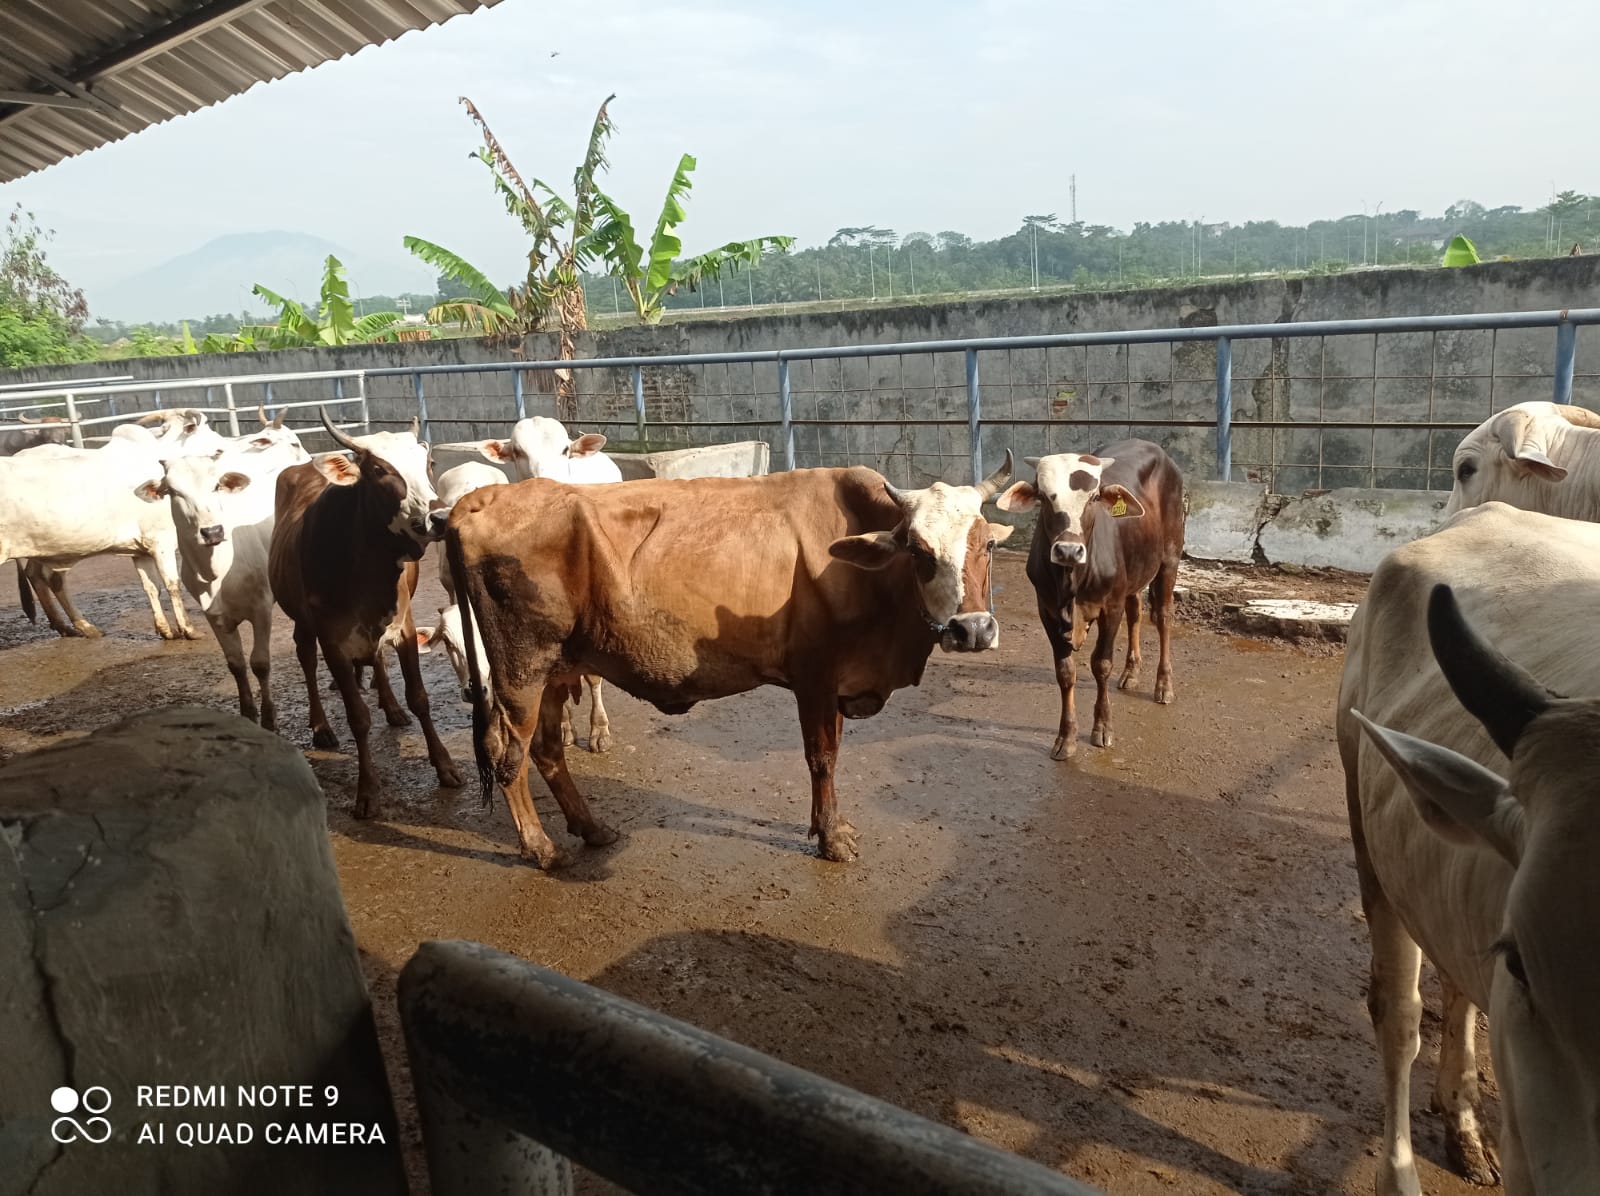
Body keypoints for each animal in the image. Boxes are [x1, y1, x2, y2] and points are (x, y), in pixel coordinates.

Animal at [134, 426, 311, 727]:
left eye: (216, 485)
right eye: (173, 492)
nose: (212, 531)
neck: (217, 572)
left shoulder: (261, 608)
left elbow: (260, 663)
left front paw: (269, 717)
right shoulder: (213, 615)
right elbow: (236, 663)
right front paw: (248, 712)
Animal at [269, 409, 461, 816]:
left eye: (428, 463)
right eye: (378, 469)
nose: (438, 517)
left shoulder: (403, 627)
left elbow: (420, 698)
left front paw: (445, 766)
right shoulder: (333, 641)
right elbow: (357, 717)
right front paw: (368, 791)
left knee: (377, 660)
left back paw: (390, 705)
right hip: (302, 623)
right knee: (306, 660)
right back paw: (321, 726)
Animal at [444, 454, 1015, 868]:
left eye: (987, 545)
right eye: (919, 551)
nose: (973, 629)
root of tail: (484, 497)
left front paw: (828, 827)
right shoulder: (815, 676)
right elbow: (822, 758)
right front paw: (831, 837)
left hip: (556, 670)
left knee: (545, 750)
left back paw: (592, 828)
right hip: (520, 672)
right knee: (508, 757)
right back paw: (540, 848)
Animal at [993, 439, 1184, 760]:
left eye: (1094, 497)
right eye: (1043, 496)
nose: (1068, 550)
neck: (1072, 581)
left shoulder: (1111, 606)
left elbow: (1101, 664)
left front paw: (1103, 727)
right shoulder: (1047, 609)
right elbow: (1065, 671)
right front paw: (1066, 736)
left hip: (1170, 557)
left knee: (1163, 617)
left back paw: (1164, 685)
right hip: (1135, 571)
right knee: (1136, 611)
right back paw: (1131, 671)